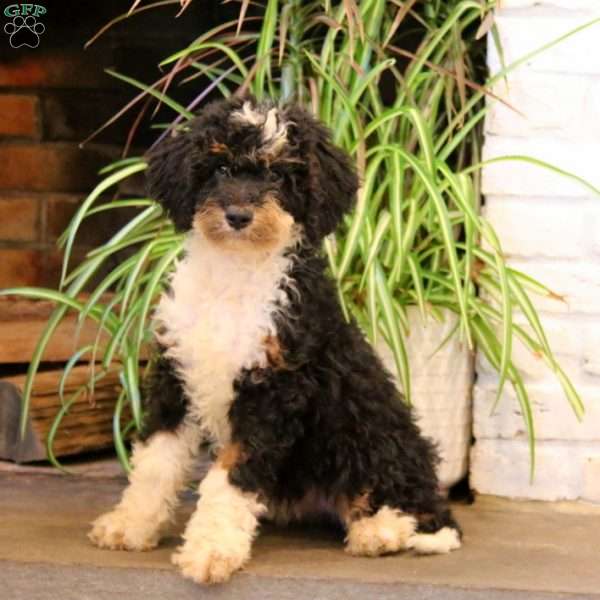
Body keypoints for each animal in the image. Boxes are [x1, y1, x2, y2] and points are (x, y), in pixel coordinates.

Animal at [89, 97, 462, 580]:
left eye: (280, 176)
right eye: (220, 168)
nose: (238, 217)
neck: (234, 273)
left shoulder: (272, 392)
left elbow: (230, 479)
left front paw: (210, 551)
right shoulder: (175, 376)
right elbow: (156, 462)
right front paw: (130, 525)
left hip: (364, 423)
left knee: (409, 504)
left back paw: (380, 533)